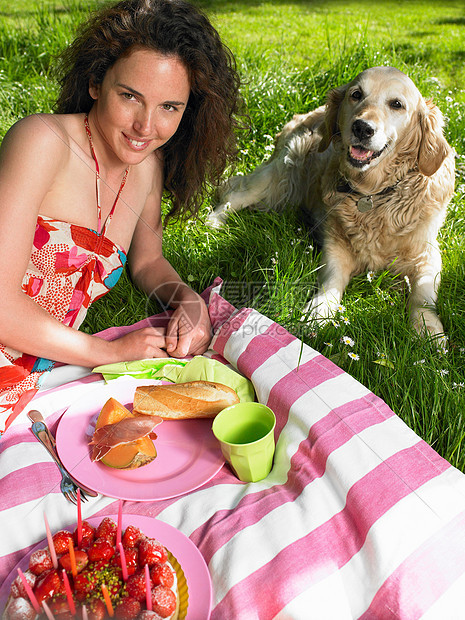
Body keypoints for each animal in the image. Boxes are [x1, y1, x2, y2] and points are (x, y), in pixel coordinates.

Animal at [208, 66, 454, 344]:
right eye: (356, 95)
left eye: (397, 104)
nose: (362, 128)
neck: (373, 194)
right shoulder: (336, 247)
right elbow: (332, 281)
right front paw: (318, 311)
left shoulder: (428, 255)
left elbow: (423, 295)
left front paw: (427, 329)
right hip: (282, 174)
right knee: (235, 192)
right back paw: (212, 222)